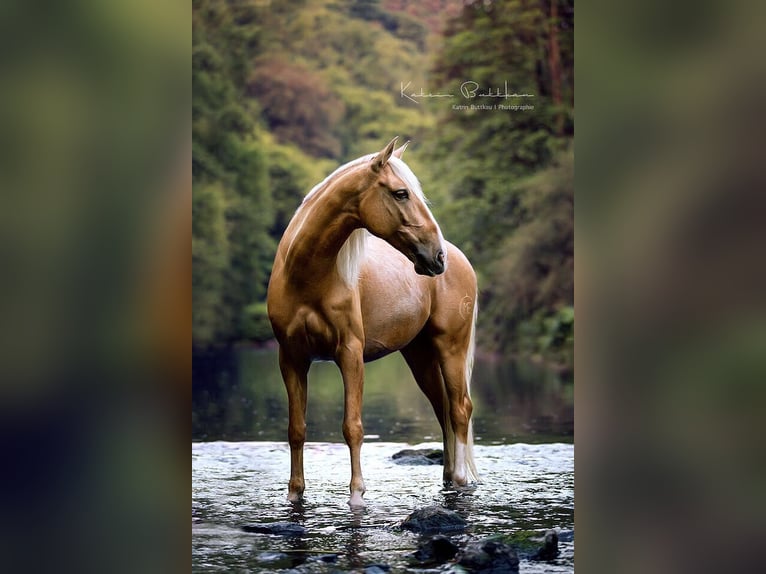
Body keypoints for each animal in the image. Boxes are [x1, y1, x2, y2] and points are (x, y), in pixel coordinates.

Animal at [268, 140, 476, 508]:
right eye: (401, 193)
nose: (437, 257)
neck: (306, 277)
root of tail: (461, 261)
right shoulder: (291, 358)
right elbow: (296, 429)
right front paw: (295, 493)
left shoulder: (350, 354)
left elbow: (352, 426)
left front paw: (357, 495)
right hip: (420, 357)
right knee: (443, 410)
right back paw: (449, 477)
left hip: (451, 348)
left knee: (460, 408)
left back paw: (462, 479)